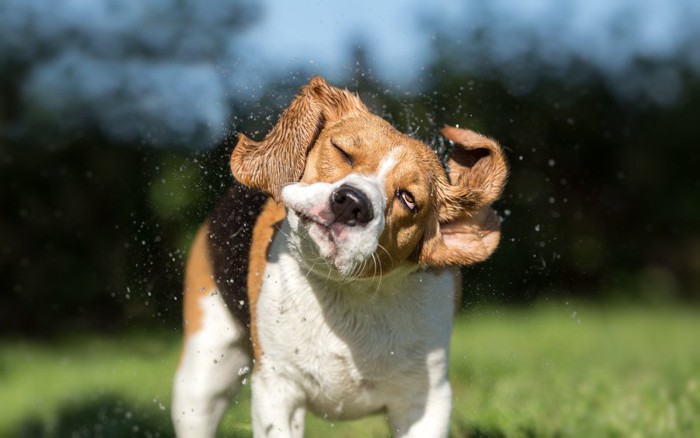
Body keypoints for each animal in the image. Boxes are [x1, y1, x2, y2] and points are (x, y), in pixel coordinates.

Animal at [172, 77, 506, 436]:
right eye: (342, 151)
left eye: (408, 199)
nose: (352, 203)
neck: (347, 292)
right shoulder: (278, 387)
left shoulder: (425, 401)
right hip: (201, 379)